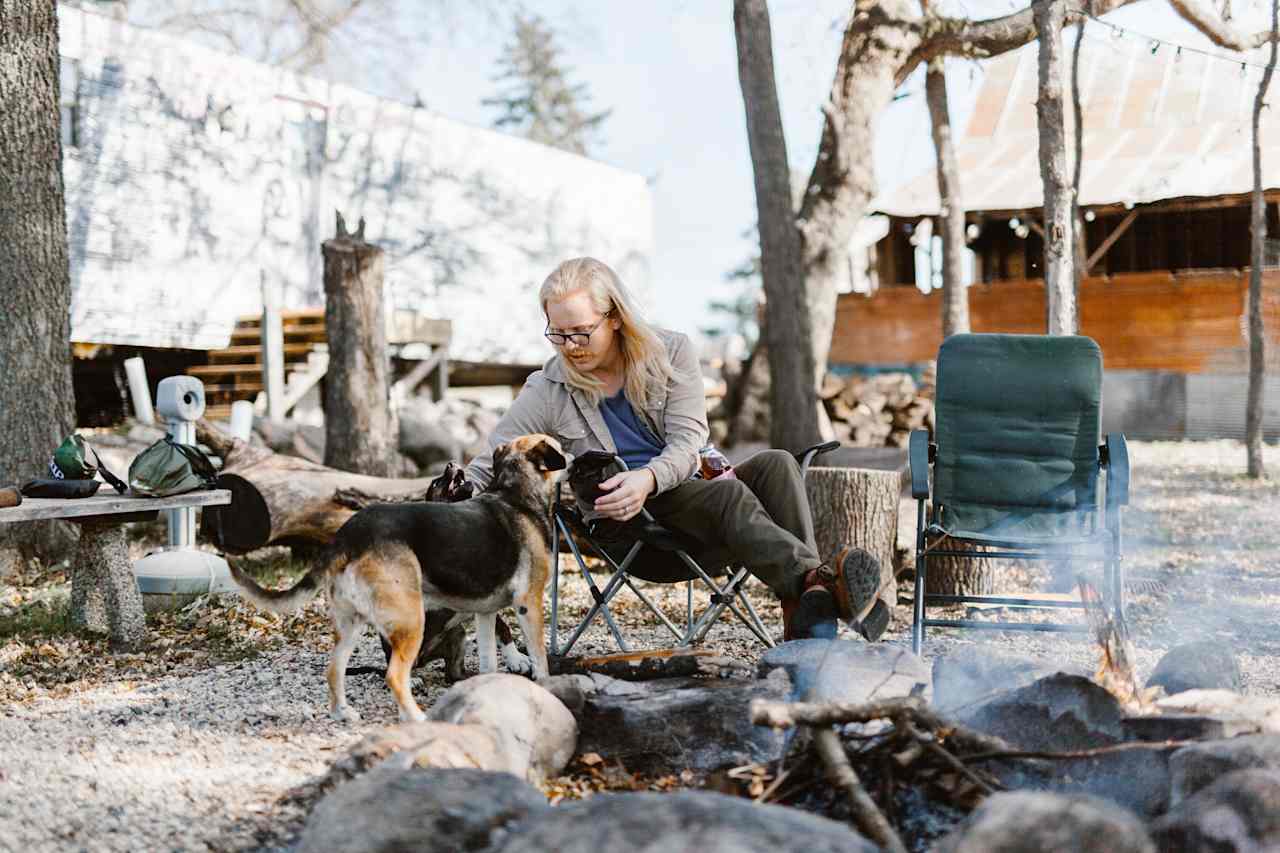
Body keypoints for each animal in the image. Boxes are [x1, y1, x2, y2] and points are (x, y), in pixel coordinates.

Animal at [227, 432, 568, 717]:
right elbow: (539, 656)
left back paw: (343, 713)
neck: (515, 493)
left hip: (351, 623)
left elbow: (490, 657)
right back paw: (415, 716)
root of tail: (348, 535)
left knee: (335, 669)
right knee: (394, 674)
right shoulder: (528, 603)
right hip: (410, 619)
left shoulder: (485, 613)